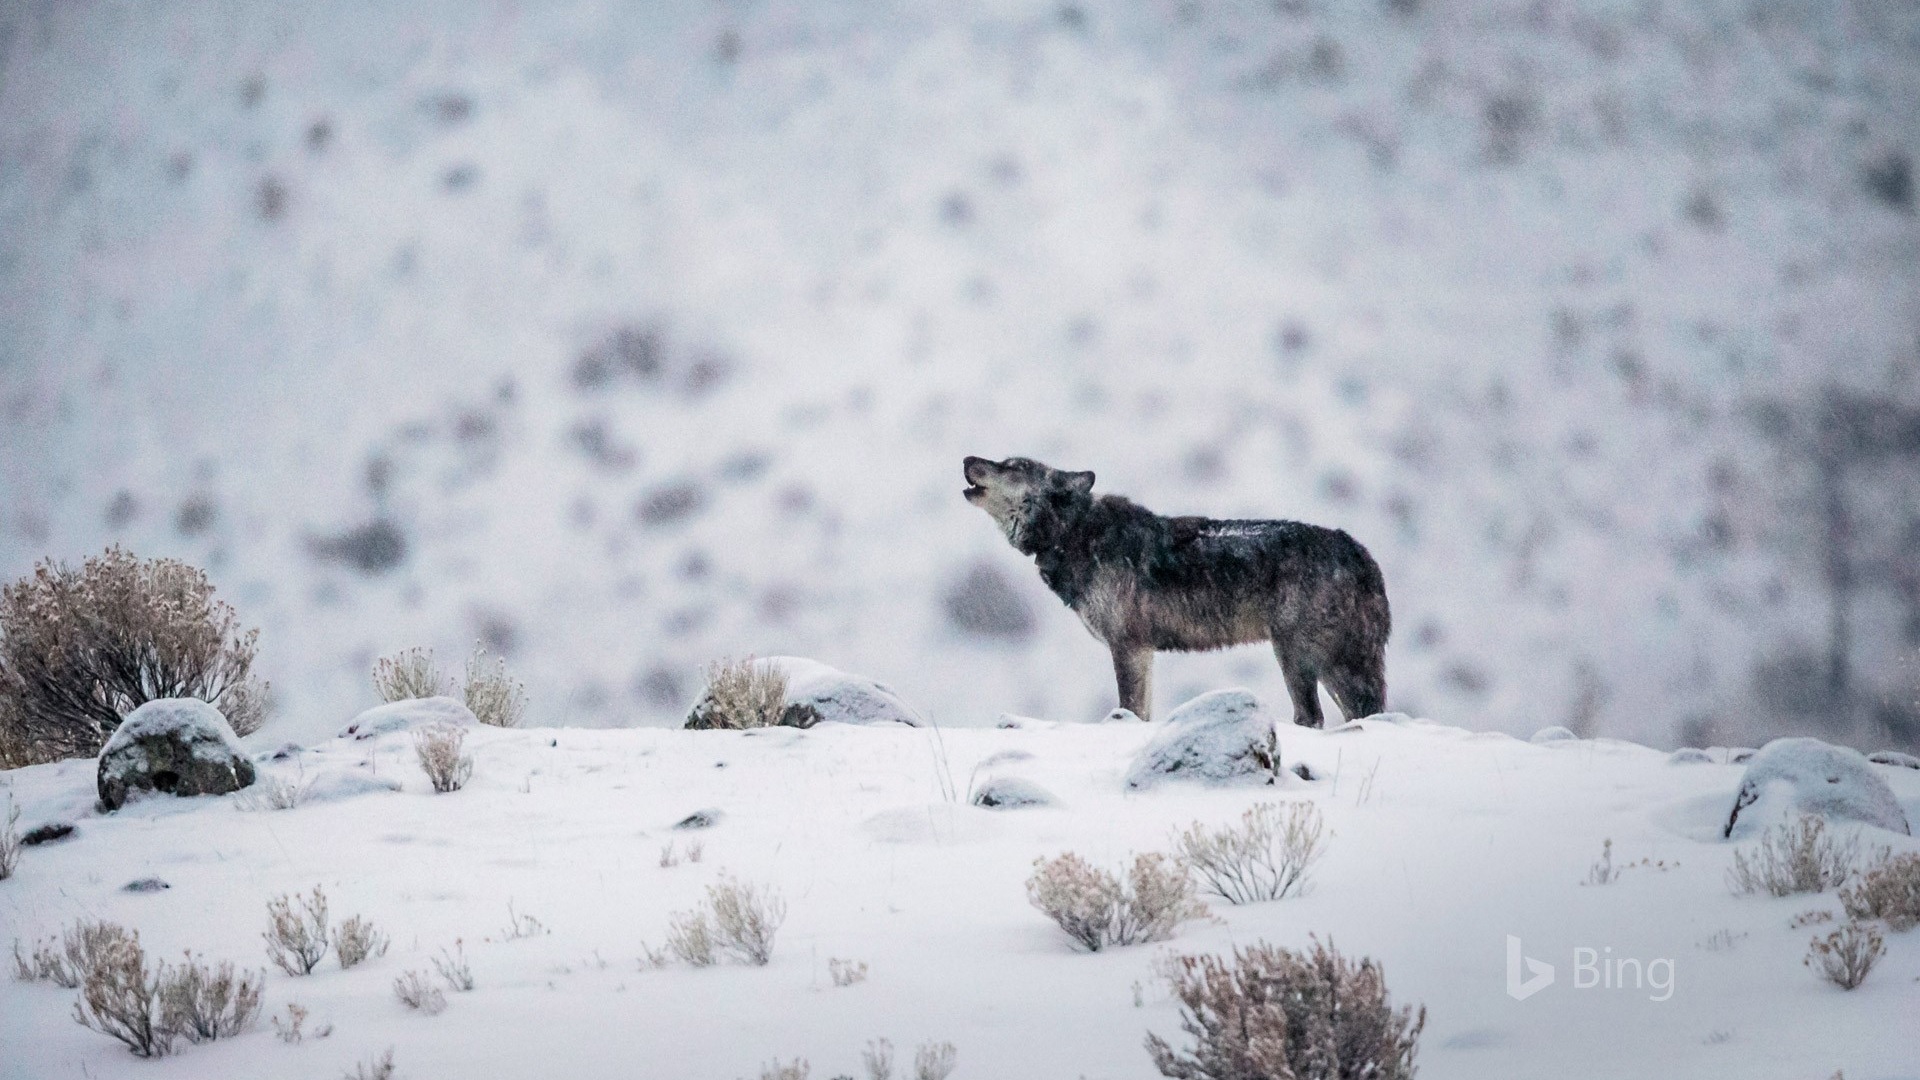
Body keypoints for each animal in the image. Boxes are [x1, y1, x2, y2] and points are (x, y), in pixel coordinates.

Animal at [960, 453, 1397, 722]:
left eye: (1013, 466)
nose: (966, 459)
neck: (1072, 535)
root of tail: (1361, 554)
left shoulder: (1128, 646)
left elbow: (1130, 709)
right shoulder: (1144, 652)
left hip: (1302, 656)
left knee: (1322, 715)